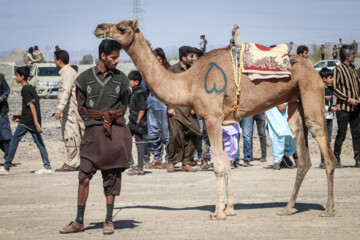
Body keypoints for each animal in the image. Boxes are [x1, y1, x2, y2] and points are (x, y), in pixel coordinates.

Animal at [93, 20, 338, 219]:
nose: (99, 28)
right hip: (295, 100)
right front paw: (230, 209)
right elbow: (227, 163)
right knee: (302, 152)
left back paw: (328, 209)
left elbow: (219, 165)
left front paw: (218, 212)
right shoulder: (220, 121)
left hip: (312, 91)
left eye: (121, 28)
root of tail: (312, 67)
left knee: (325, 147)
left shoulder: (211, 117)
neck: (188, 83)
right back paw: (287, 207)